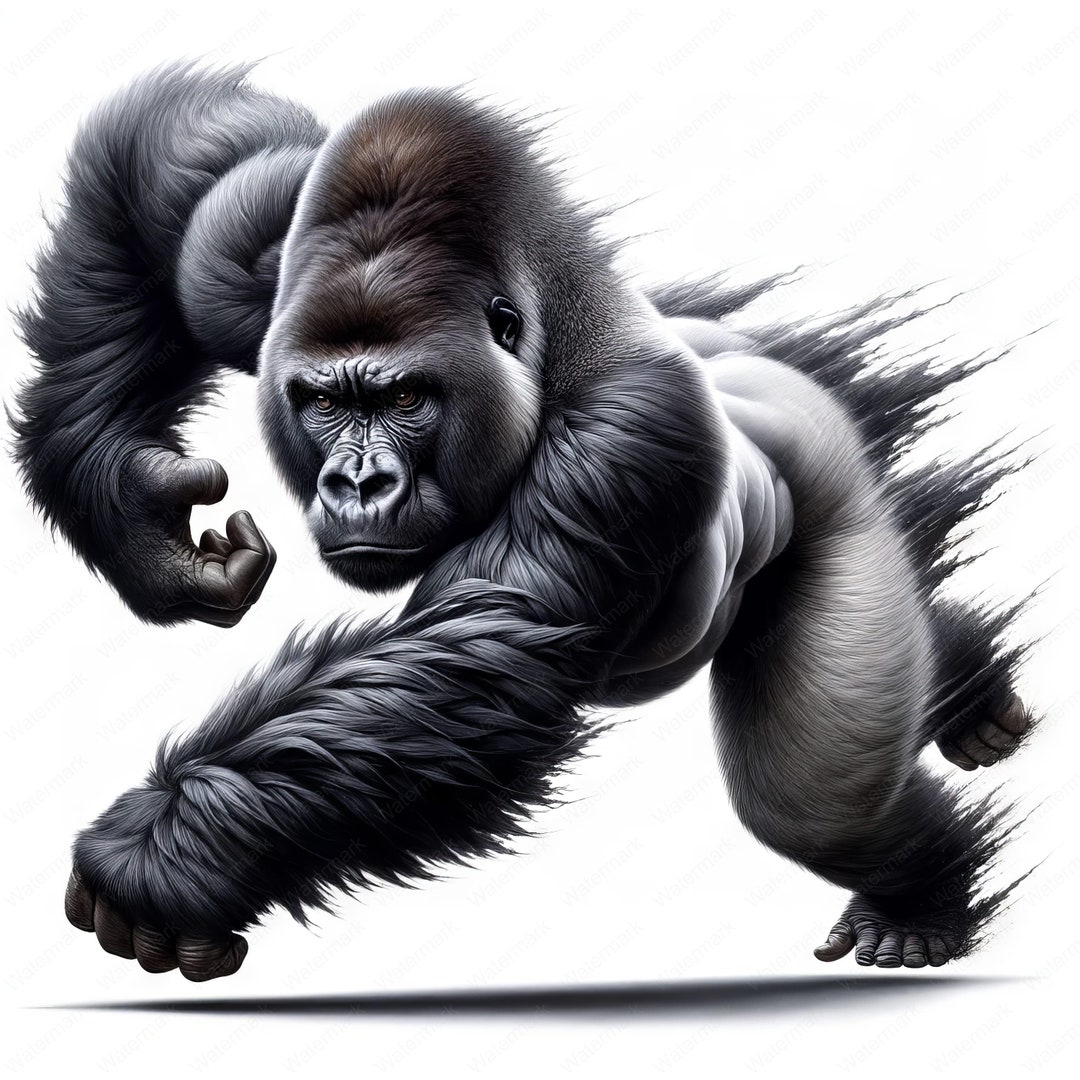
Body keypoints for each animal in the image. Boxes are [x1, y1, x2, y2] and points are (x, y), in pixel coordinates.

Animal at [12, 64, 1036, 982]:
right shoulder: (263, 269)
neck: (553, 327)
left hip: (832, 502)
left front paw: (164, 855)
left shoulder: (629, 433)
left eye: (405, 399)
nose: (356, 483)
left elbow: (474, 662)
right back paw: (970, 682)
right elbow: (177, 167)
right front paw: (140, 520)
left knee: (813, 801)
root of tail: (763, 377)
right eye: (322, 401)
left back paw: (918, 903)